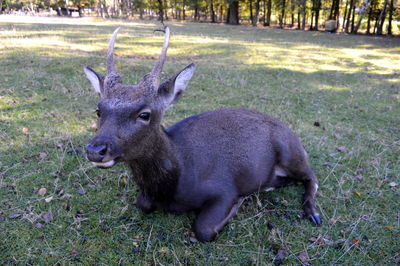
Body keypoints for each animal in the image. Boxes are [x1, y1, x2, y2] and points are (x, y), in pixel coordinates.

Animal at [85, 26, 322, 242]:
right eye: (98, 110)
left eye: (145, 114)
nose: (95, 150)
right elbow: (142, 204)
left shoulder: (224, 188)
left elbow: (204, 229)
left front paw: (240, 202)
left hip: (290, 152)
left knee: (312, 176)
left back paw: (313, 213)